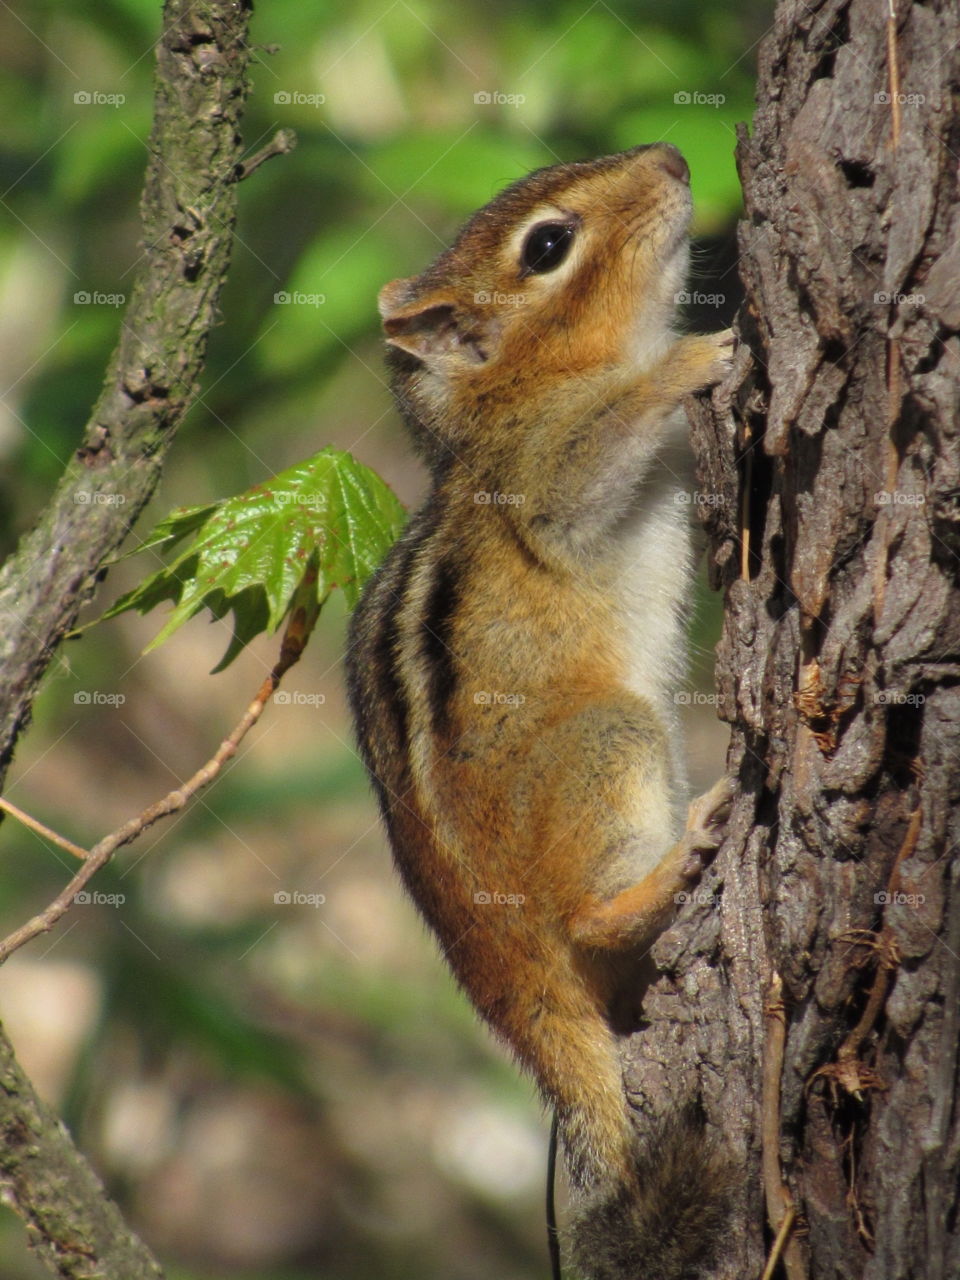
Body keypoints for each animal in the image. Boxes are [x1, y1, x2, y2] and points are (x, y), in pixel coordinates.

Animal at [346, 142, 736, 1280]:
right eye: (549, 244)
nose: (674, 155)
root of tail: (496, 966)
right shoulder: (545, 476)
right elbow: (595, 453)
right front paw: (699, 353)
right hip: (615, 737)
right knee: (588, 919)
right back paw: (674, 863)